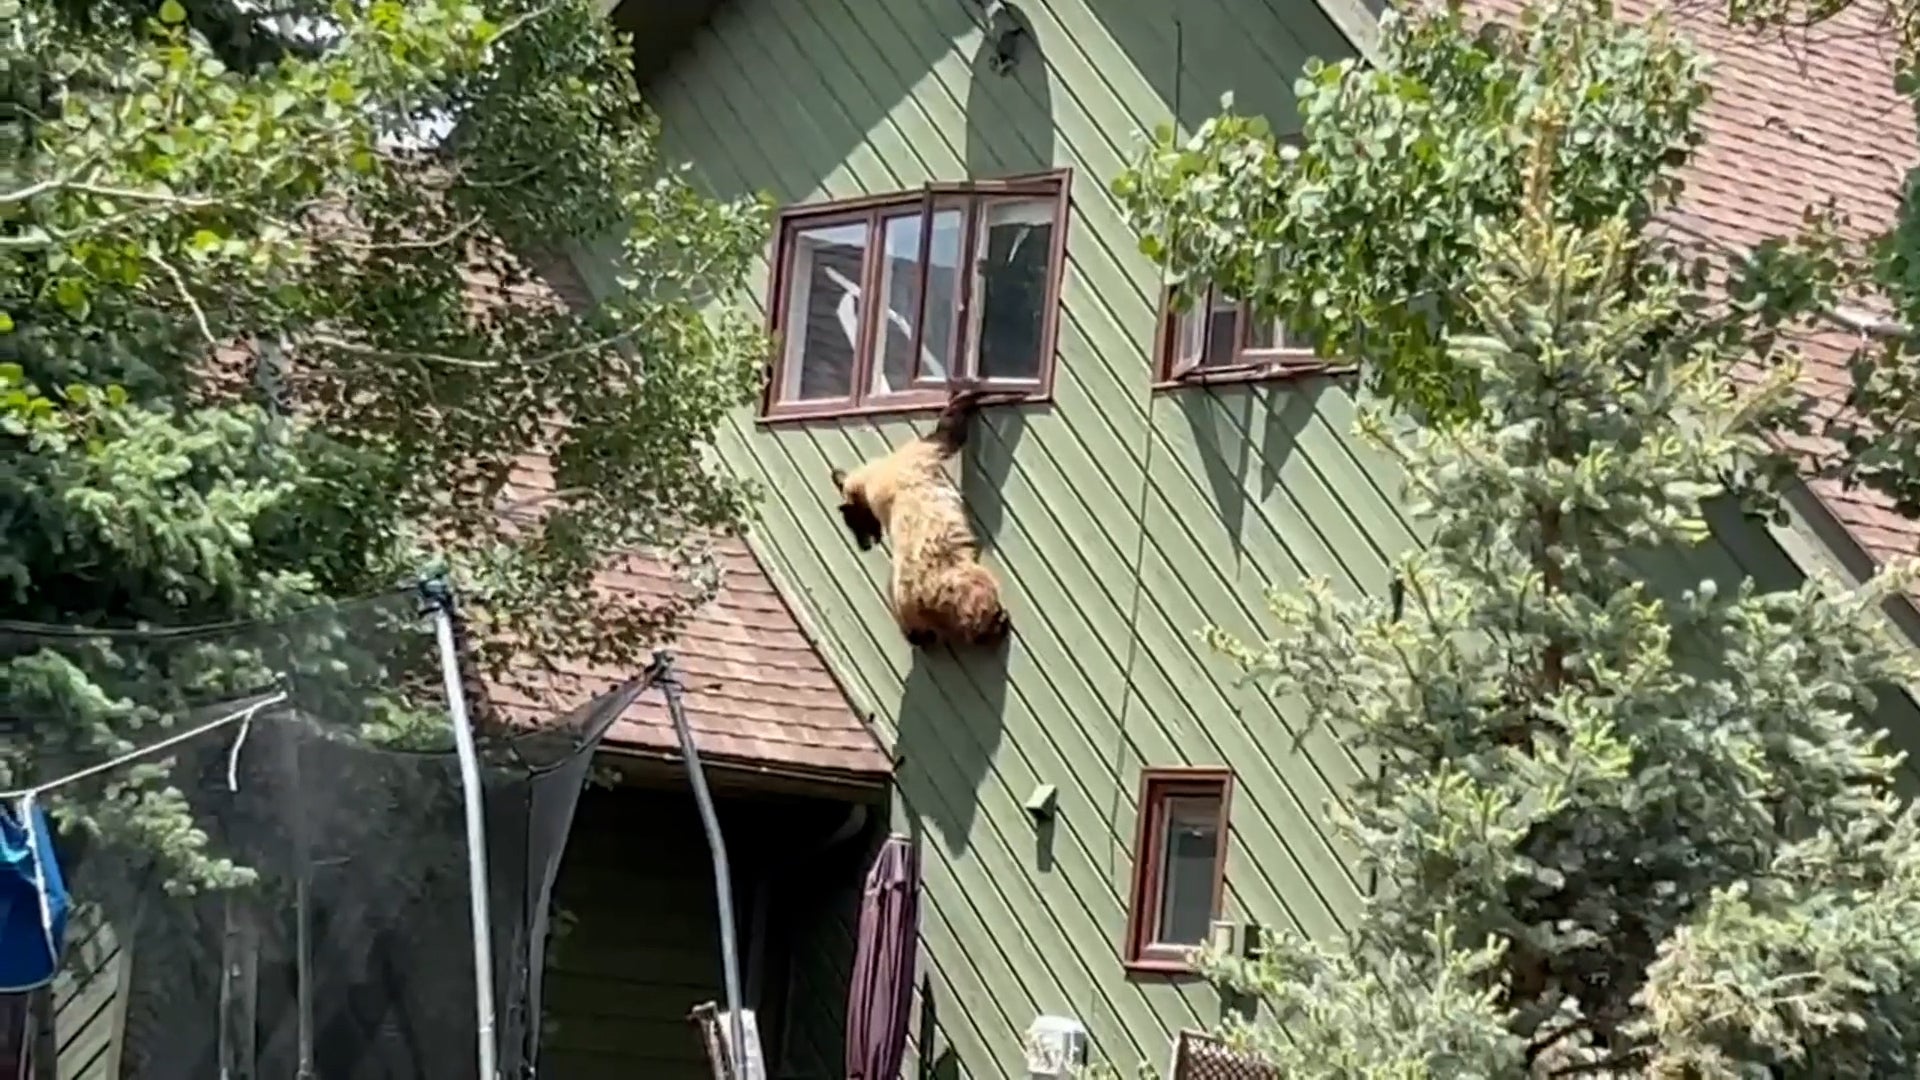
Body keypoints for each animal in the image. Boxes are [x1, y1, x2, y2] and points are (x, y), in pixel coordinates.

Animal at [829, 386, 1014, 650]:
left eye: (853, 523)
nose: (864, 546)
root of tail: (921, 601)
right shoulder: (919, 456)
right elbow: (947, 436)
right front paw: (966, 398)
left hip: (917, 604)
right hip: (954, 579)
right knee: (977, 594)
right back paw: (994, 623)